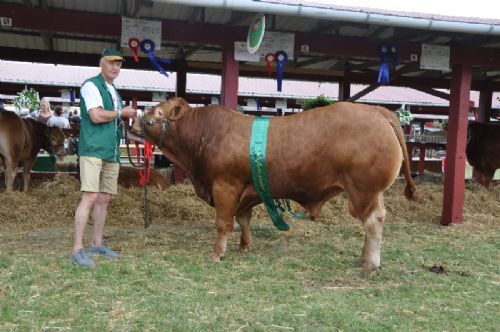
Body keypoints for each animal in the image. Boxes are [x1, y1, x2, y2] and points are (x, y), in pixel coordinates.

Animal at [131, 98, 416, 274]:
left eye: (158, 112)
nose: (132, 121)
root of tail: (376, 111)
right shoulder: (245, 191)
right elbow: (244, 219)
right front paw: (245, 246)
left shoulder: (225, 186)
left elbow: (224, 223)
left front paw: (217, 254)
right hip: (374, 192)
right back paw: (363, 258)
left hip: (362, 191)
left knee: (373, 222)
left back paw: (369, 264)